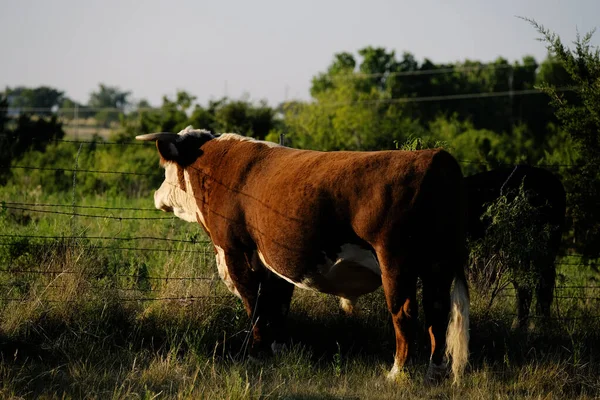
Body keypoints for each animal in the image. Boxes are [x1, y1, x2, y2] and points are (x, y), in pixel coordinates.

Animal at [138, 126, 472, 382]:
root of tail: (434, 157)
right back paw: (434, 372)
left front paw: (257, 354)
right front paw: (277, 350)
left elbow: (255, 304)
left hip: (396, 261)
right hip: (438, 262)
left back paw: (397, 373)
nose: (155, 196)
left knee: (404, 312)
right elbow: (276, 306)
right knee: (437, 310)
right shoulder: (274, 260)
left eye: (165, 169)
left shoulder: (236, 251)